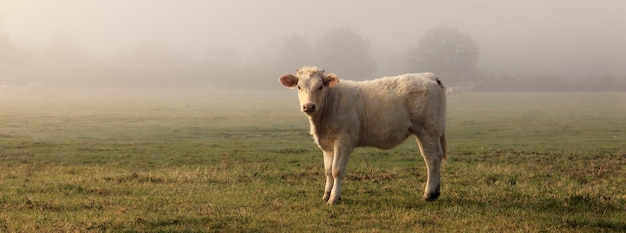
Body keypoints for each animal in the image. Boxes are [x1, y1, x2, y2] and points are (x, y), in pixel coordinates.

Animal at [276, 66, 444, 205]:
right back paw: (436, 192)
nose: (309, 106)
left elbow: (337, 170)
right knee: (438, 156)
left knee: (431, 159)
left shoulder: (343, 141)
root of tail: (428, 76)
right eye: (299, 86)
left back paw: (428, 194)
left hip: (427, 130)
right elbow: (328, 171)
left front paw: (334, 198)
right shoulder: (328, 145)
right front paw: (326, 195)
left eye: (320, 86)